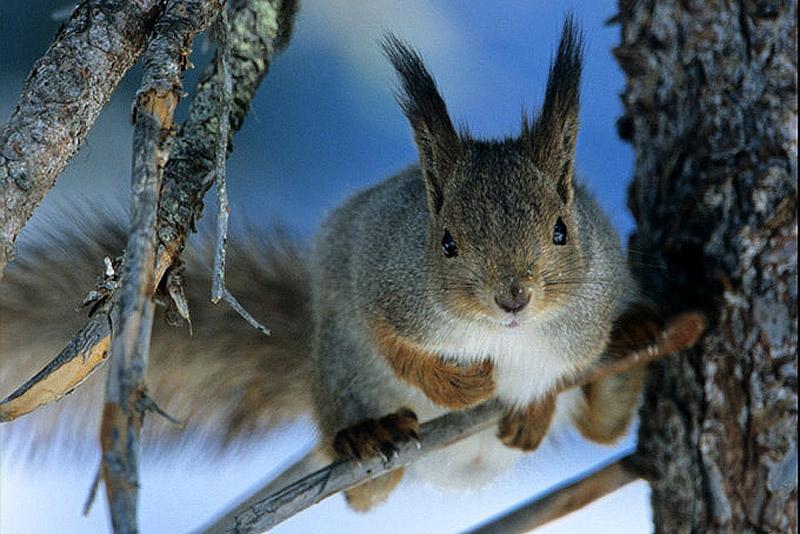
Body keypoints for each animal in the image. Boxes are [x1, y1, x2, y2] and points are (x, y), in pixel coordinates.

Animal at [0, 18, 656, 516]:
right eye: (445, 243)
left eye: (562, 231)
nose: (513, 297)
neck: (502, 338)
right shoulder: (374, 277)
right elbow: (393, 343)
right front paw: (462, 383)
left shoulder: (586, 317)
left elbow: (567, 371)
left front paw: (533, 406)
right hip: (343, 374)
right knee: (366, 493)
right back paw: (367, 436)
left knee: (604, 428)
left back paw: (636, 338)